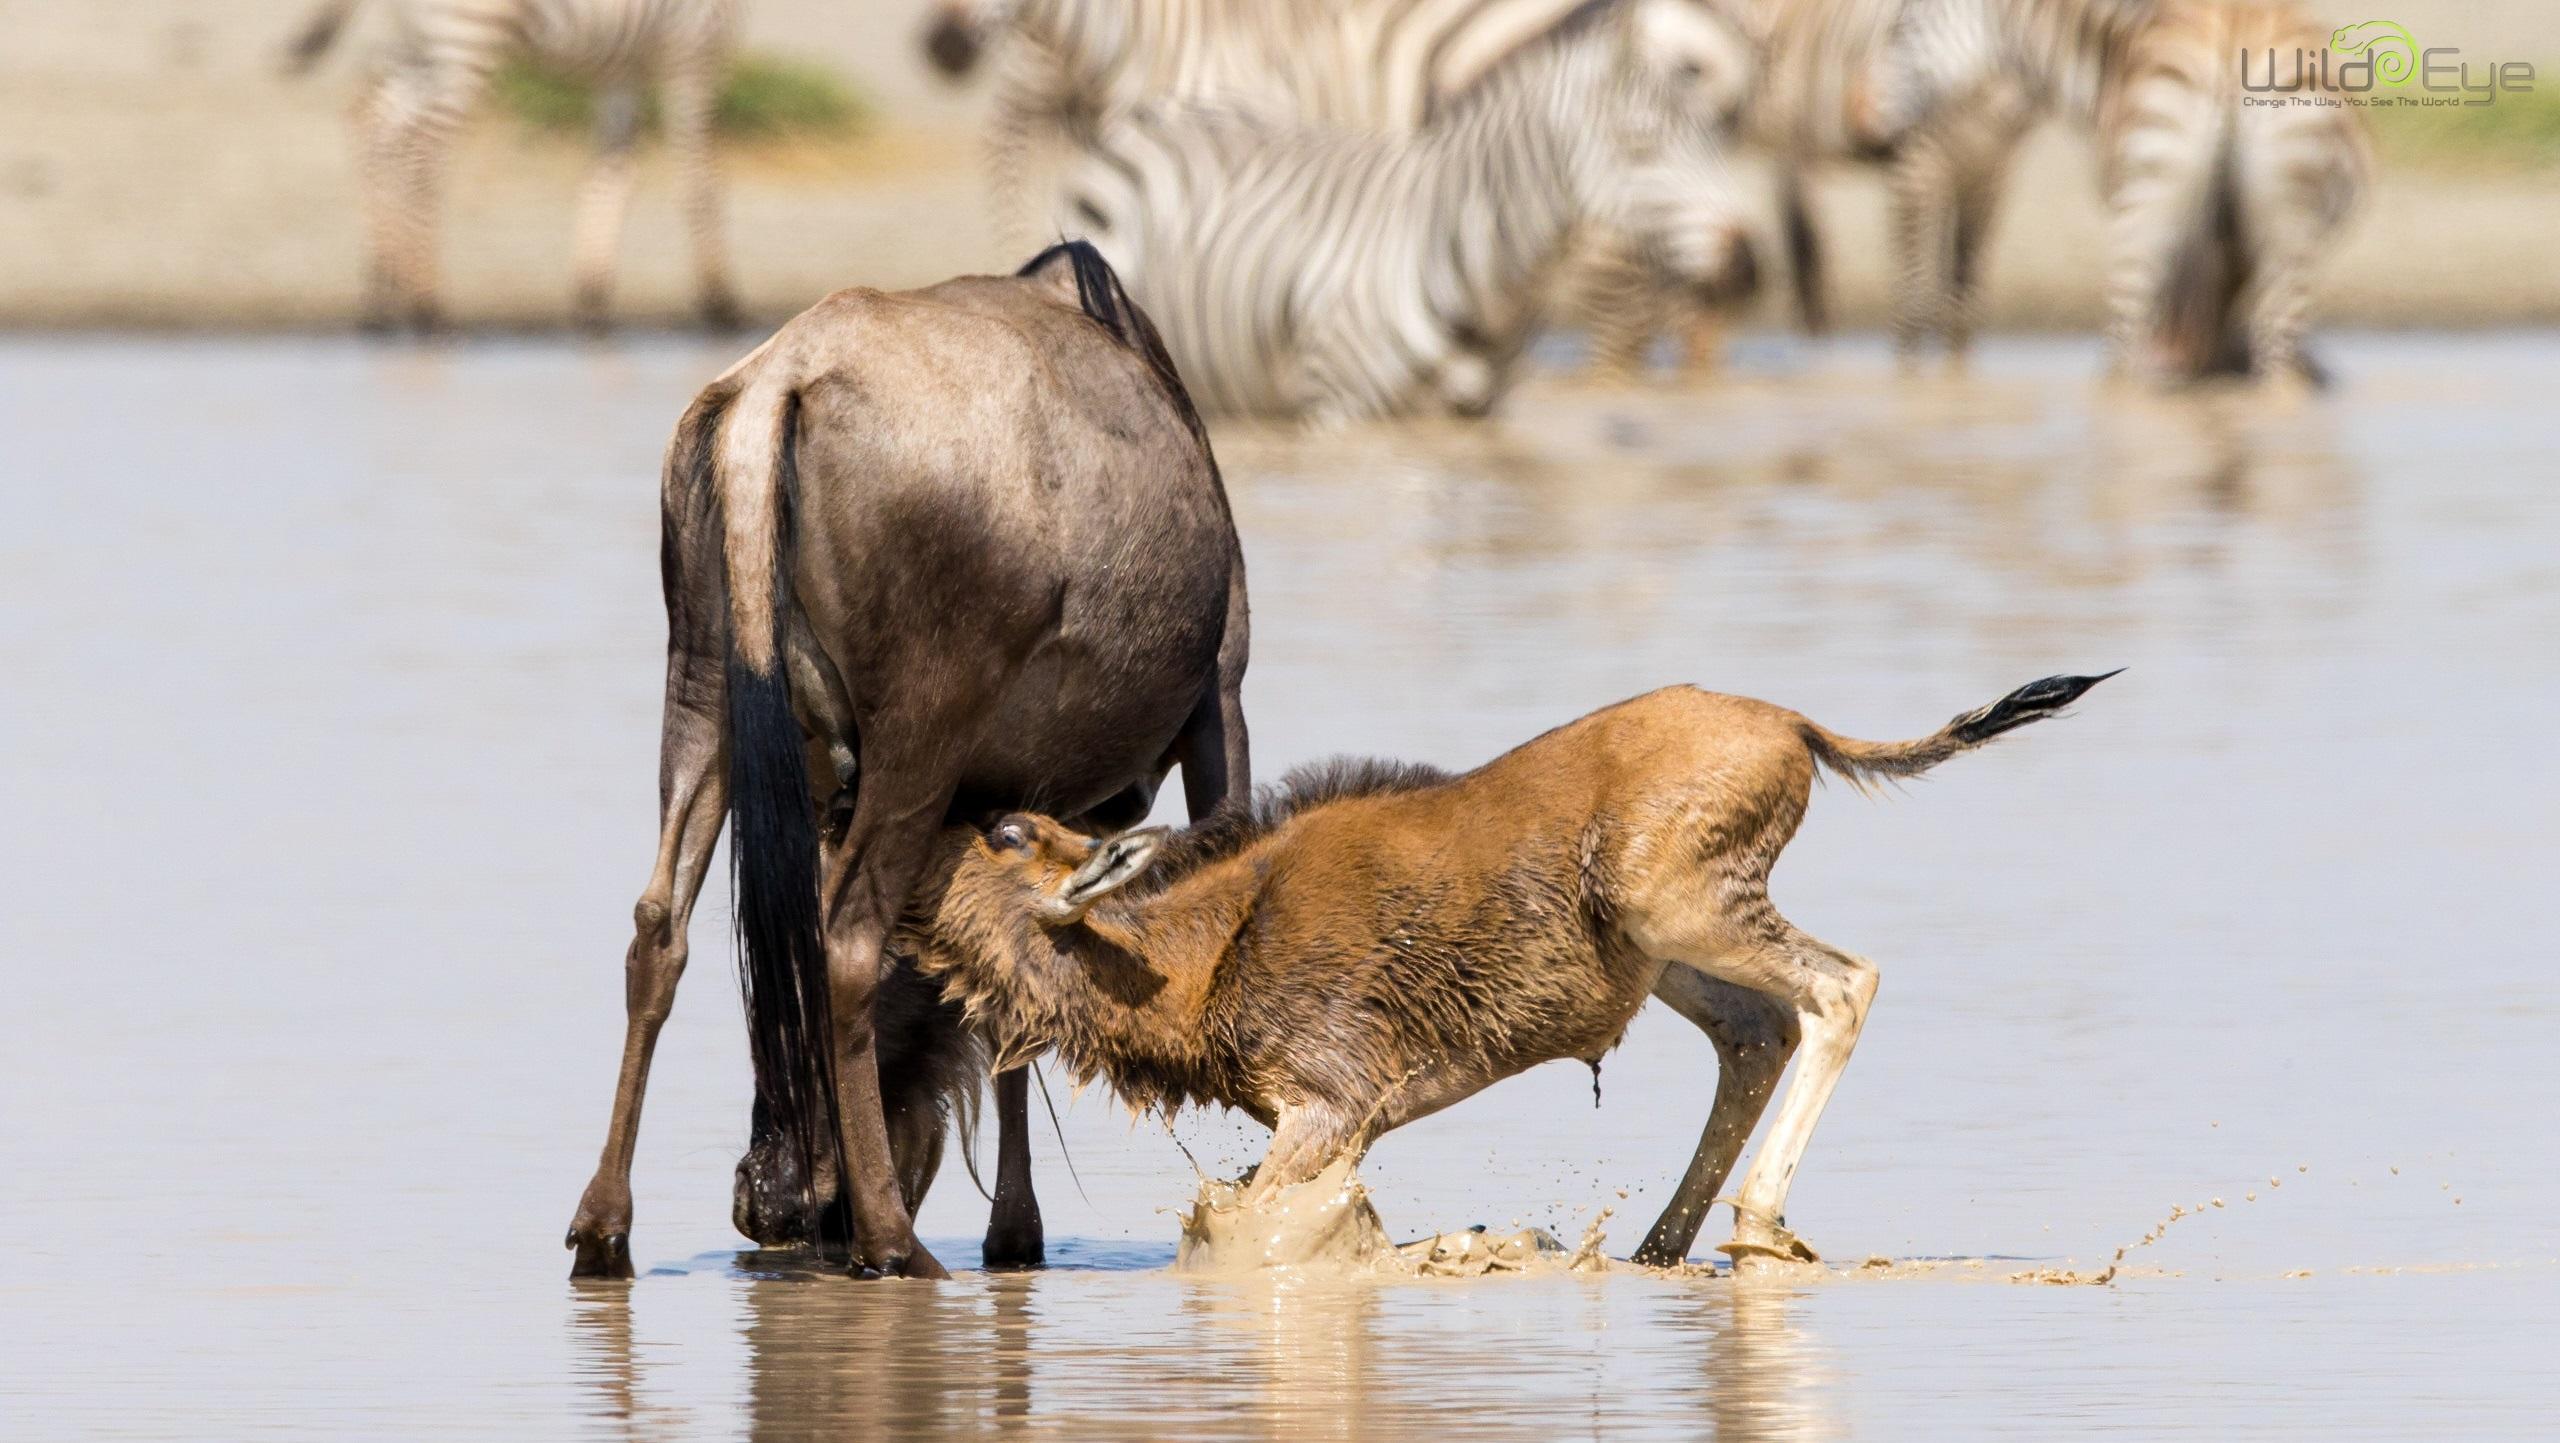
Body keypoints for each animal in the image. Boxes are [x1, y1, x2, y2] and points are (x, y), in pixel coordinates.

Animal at [906, 674, 2114, 1268]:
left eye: (1006, 832)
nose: (901, 835)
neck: (1196, 953)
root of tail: (1794, 727)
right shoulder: (1329, 1125)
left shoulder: (1326, 1110)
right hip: (1664, 950)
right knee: (1754, 1031)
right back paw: (1657, 1248)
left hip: (1680, 906)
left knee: (1839, 985)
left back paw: (1754, 1230)